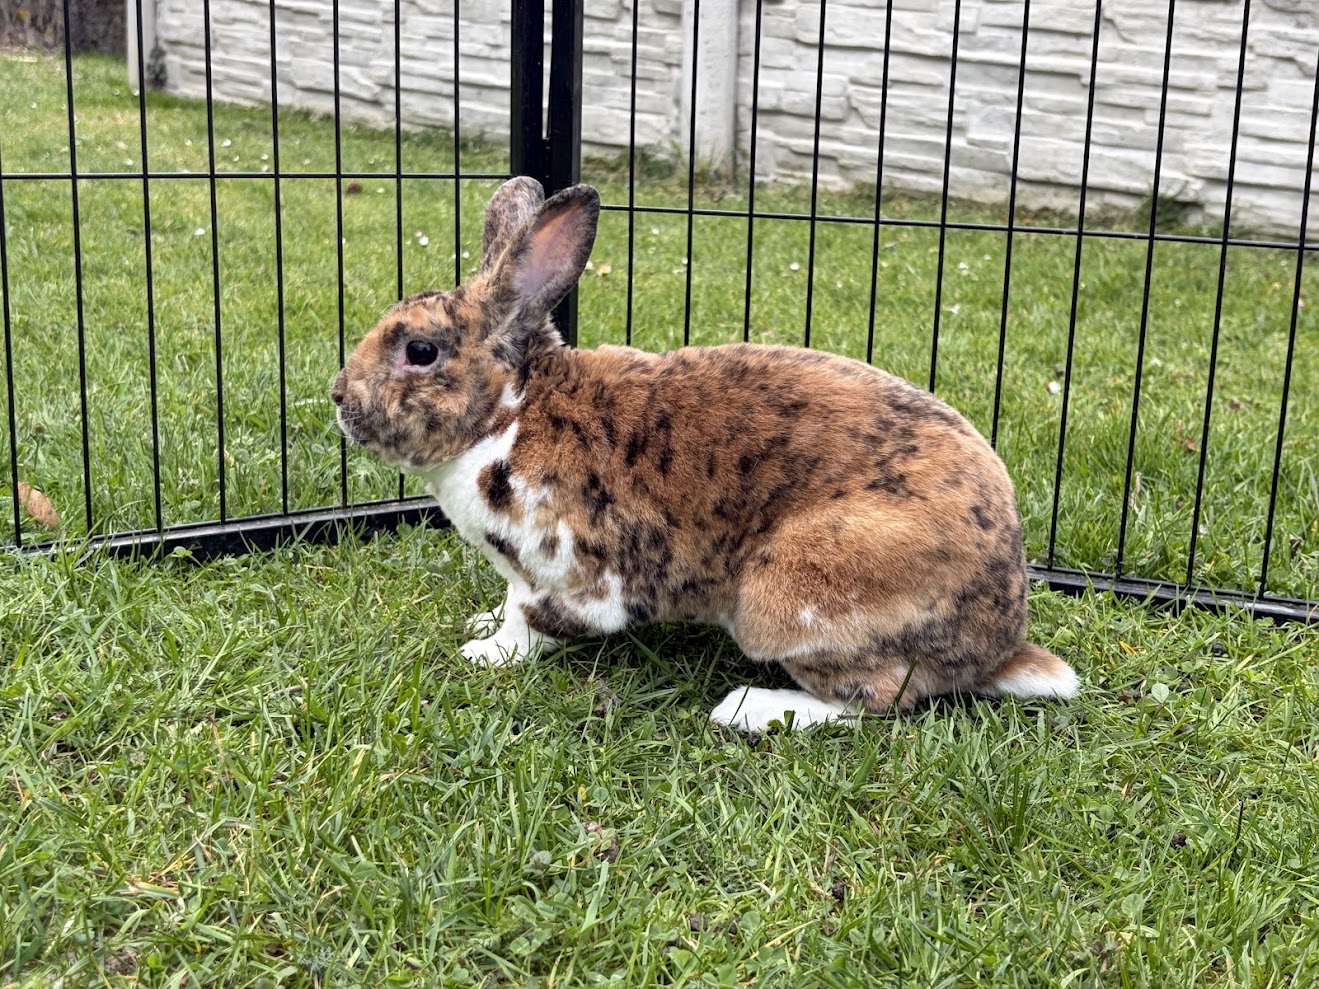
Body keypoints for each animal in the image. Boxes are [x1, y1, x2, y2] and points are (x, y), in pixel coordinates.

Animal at [331, 176, 1079, 733]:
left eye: (420, 350)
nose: (339, 396)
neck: (508, 414)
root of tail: (999, 639)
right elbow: (509, 599)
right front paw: (481, 621)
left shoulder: (573, 572)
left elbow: (533, 621)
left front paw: (484, 650)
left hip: (785, 599)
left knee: (881, 697)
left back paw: (750, 708)